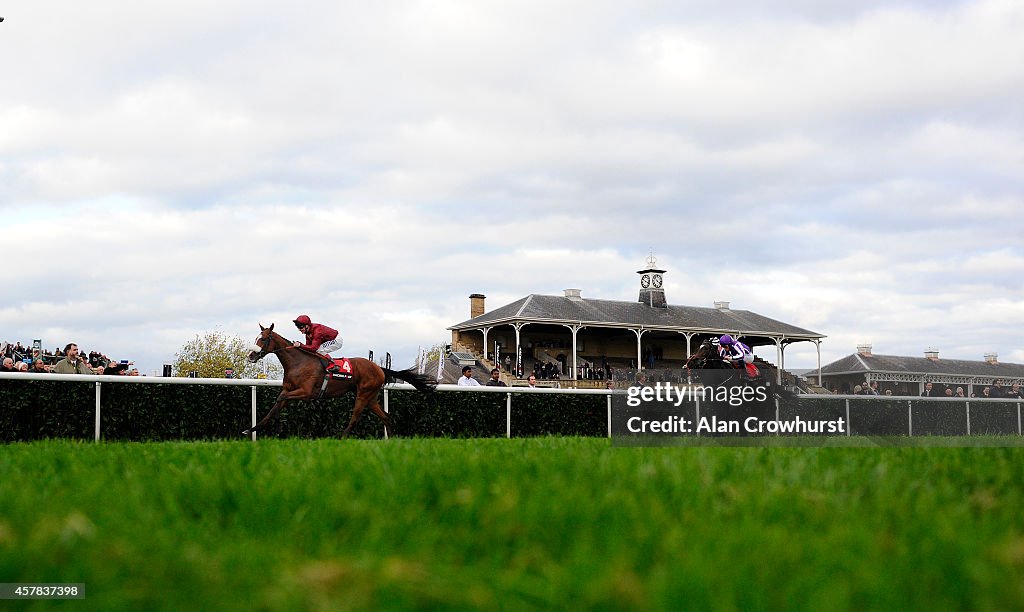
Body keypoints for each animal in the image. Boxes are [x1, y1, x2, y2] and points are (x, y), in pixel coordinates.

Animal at [243, 323, 436, 438]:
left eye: (263, 339)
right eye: (256, 338)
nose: (251, 355)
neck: (298, 362)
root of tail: (379, 368)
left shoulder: (305, 393)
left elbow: (279, 400)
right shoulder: (288, 390)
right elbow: (273, 408)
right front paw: (250, 430)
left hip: (363, 395)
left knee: (355, 417)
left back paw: (341, 438)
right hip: (371, 397)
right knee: (386, 417)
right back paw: (392, 440)